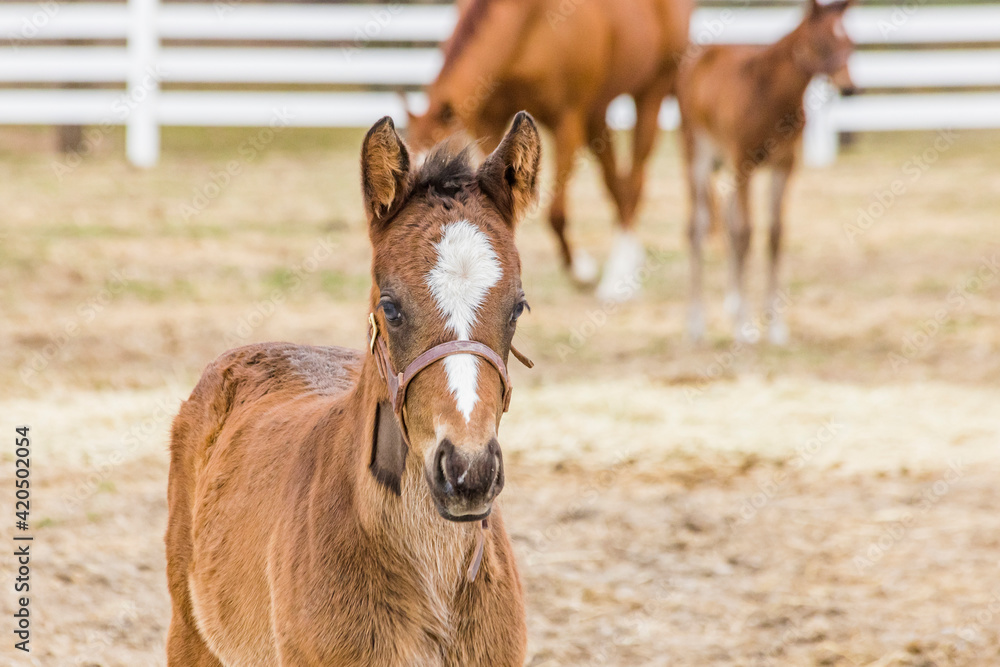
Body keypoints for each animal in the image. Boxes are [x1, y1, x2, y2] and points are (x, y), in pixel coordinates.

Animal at [407, 0, 692, 302]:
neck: (527, 23)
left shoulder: (567, 121)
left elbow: (556, 213)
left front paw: (582, 271)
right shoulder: (492, 124)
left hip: (652, 92)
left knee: (634, 182)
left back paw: (618, 277)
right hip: (598, 112)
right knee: (616, 184)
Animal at [677, 0, 855, 344]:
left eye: (851, 43)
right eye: (821, 43)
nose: (850, 87)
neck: (769, 94)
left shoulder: (784, 166)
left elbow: (774, 234)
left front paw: (774, 327)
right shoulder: (744, 162)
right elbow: (745, 234)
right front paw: (744, 327)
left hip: (726, 165)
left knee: (727, 219)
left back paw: (729, 306)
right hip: (699, 155)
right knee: (698, 227)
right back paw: (696, 323)